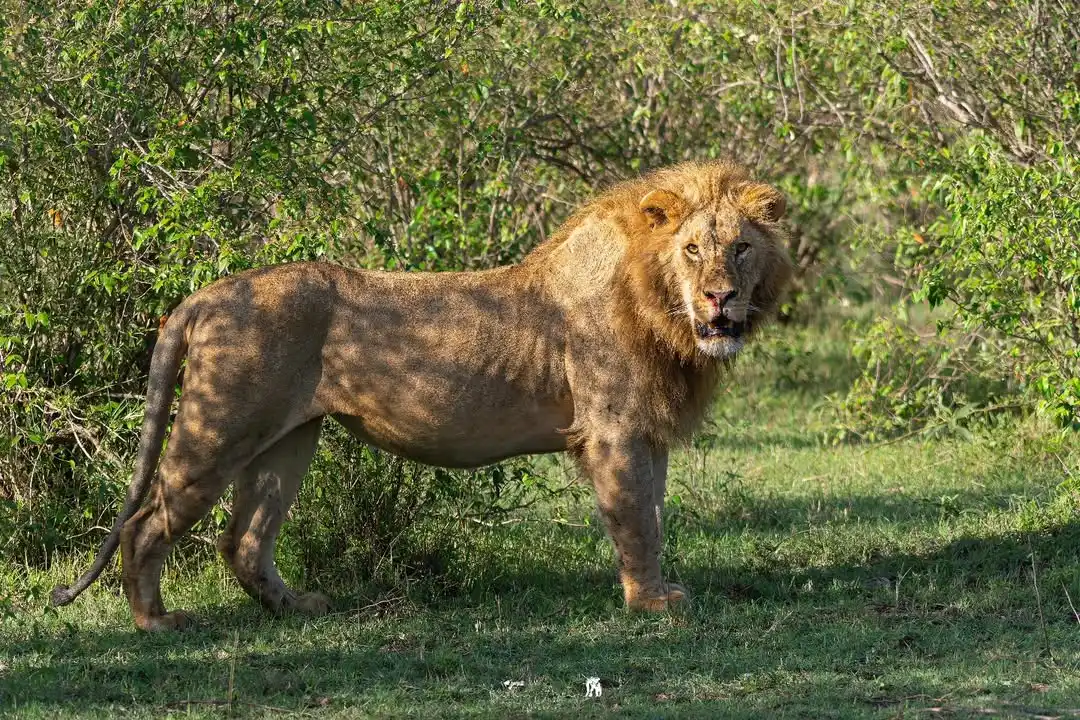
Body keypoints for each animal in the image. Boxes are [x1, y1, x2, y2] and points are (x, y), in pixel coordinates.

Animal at [51, 160, 792, 631]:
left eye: (742, 249)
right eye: (692, 250)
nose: (720, 297)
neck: (662, 310)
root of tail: (202, 296)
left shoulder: (645, 430)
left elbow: (656, 518)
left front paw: (662, 592)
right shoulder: (613, 430)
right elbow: (635, 520)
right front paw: (649, 607)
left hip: (288, 439)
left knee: (244, 540)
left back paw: (299, 609)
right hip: (219, 428)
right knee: (148, 524)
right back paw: (155, 622)